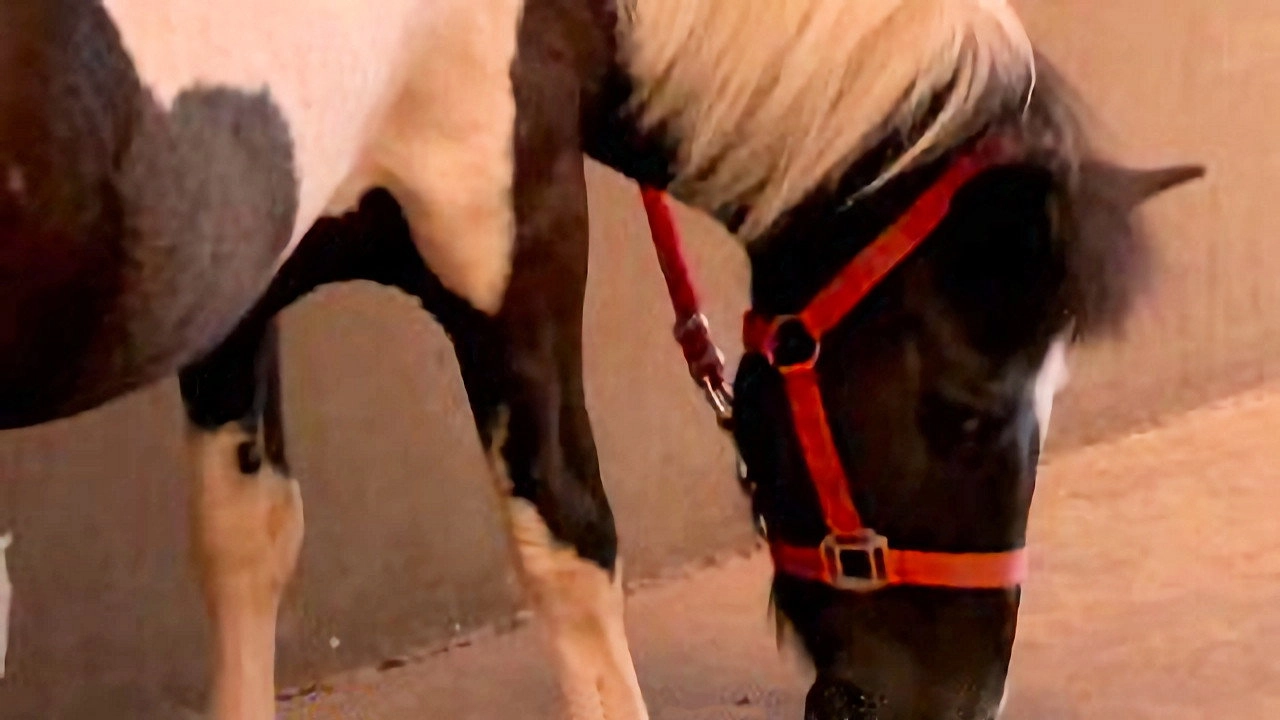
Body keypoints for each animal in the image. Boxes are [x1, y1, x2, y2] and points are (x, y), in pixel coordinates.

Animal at [0, 0, 1203, 718]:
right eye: (963, 412)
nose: (952, 705)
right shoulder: (516, 235)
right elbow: (570, 549)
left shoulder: (236, 283)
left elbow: (245, 540)